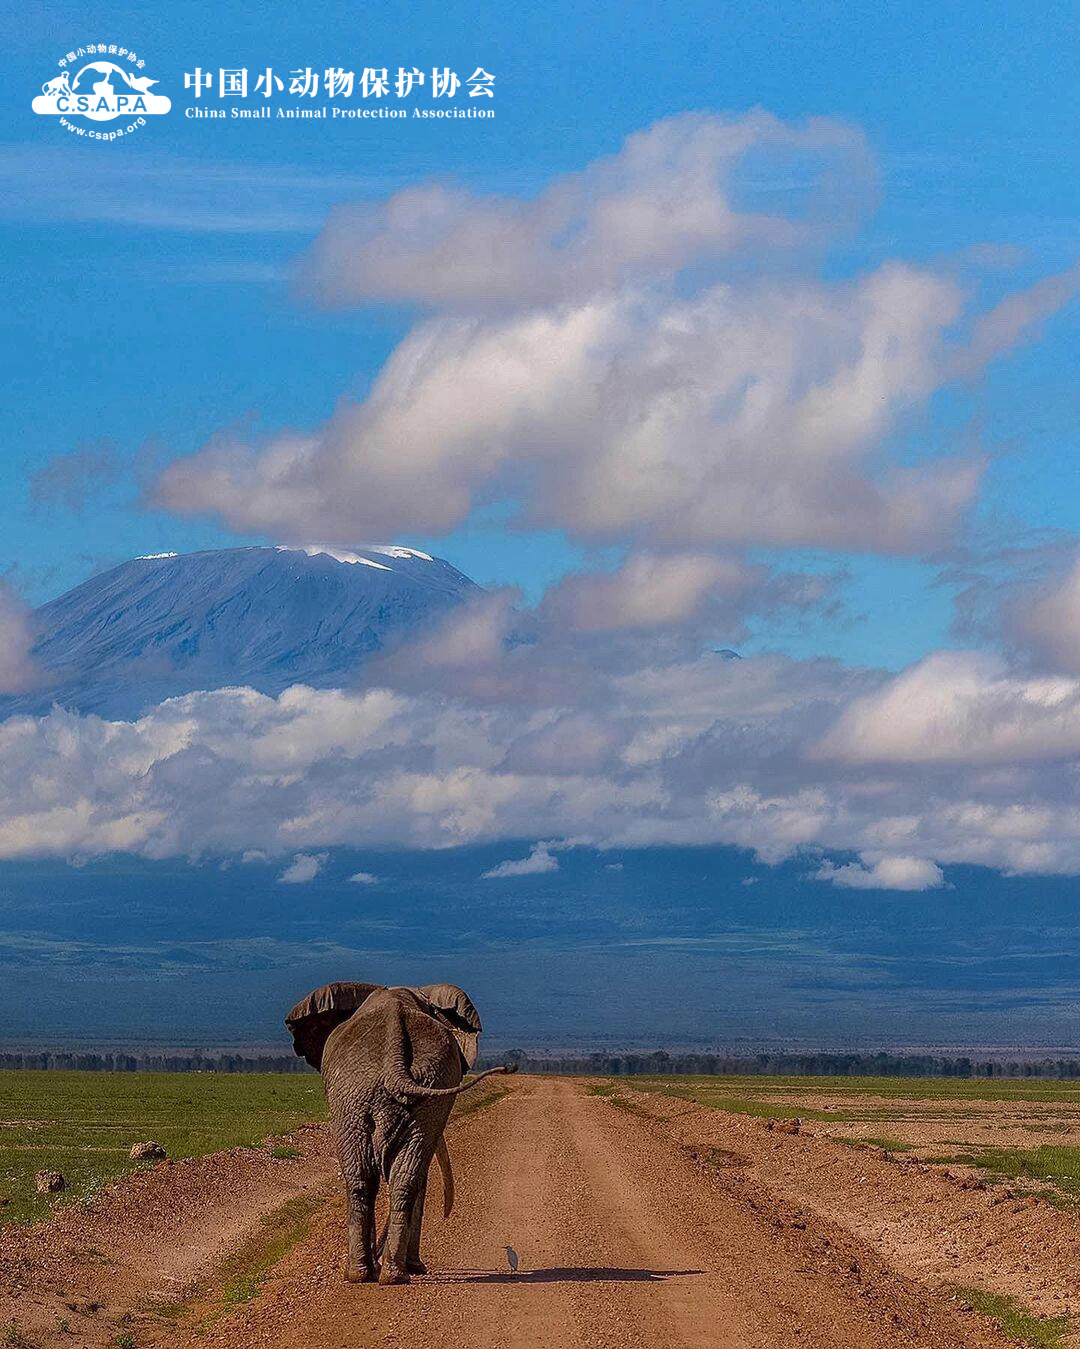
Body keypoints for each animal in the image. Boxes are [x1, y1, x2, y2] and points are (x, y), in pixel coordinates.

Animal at [281, 982, 509, 1284]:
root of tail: (394, 1060)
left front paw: (405, 1266)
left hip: (384, 1090)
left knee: (381, 1176)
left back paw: (382, 1273)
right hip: (367, 1092)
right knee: (379, 1177)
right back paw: (375, 1274)